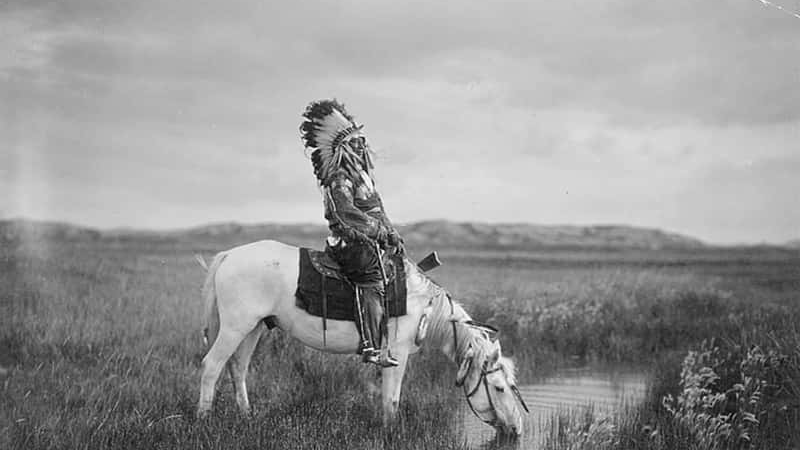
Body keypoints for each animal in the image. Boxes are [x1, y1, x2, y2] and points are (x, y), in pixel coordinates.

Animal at [196, 239, 529, 437]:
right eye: (499, 388)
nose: (517, 429)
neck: (423, 305)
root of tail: (228, 255)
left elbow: (386, 397)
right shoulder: (397, 353)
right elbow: (392, 398)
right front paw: (390, 433)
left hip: (252, 328)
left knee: (237, 368)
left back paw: (247, 416)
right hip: (235, 327)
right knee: (212, 367)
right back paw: (204, 420)